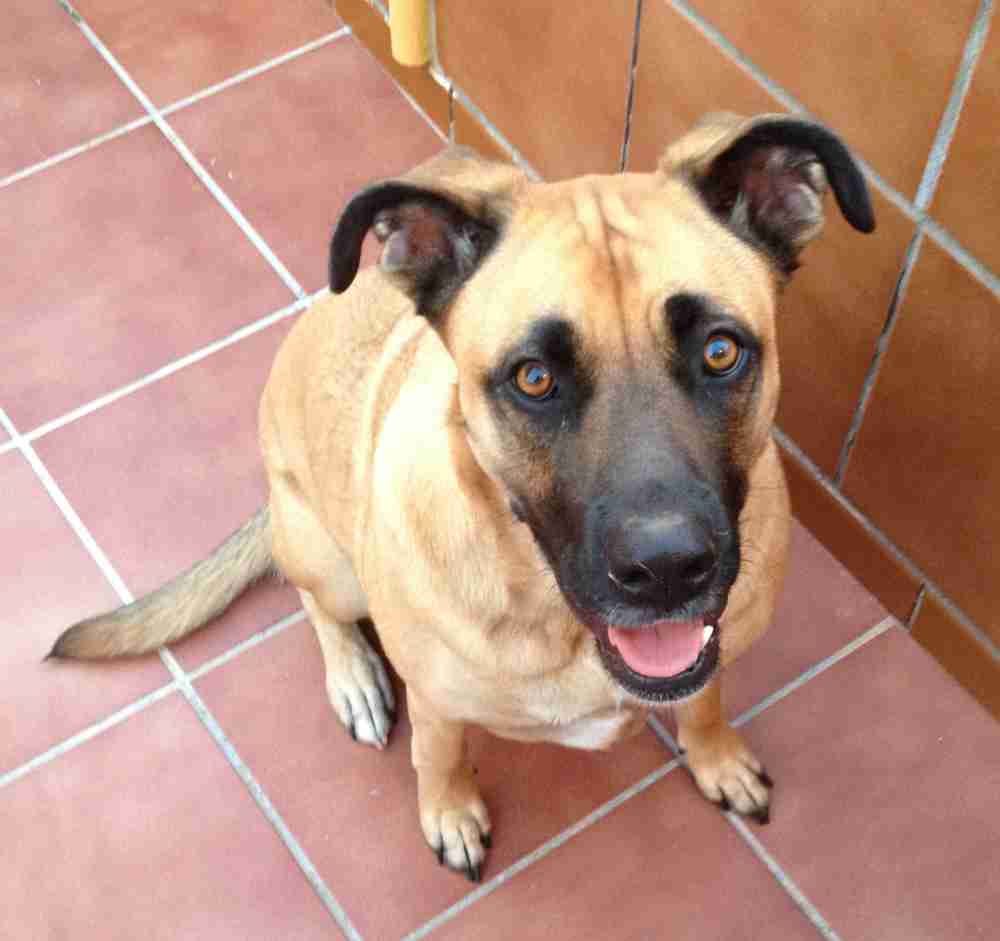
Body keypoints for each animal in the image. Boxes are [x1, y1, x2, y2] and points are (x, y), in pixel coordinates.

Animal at [48, 112, 876, 880]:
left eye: (721, 350)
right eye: (533, 377)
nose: (667, 568)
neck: (559, 622)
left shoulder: (709, 648)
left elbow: (706, 697)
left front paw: (717, 756)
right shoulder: (437, 699)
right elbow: (437, 756)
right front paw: (449, 814)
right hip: (329, 559)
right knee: (314, 602)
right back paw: (354, 677)